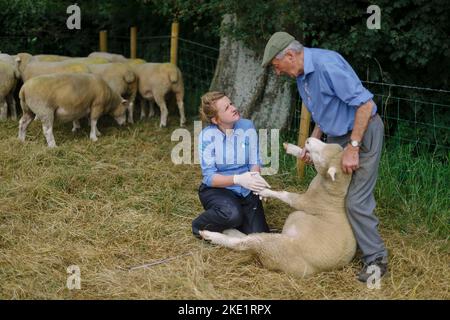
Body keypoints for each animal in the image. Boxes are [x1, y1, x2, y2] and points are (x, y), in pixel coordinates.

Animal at [200, 138, 356, 278]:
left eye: (321, 157)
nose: (308, 140)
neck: (333, 194)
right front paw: (293, 148)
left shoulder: (304, 201)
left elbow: (284, 195)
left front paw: (264, 191)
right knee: (251, 237)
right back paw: (229, 230)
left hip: (277, 247)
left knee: (245, 243)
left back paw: (212, 234)